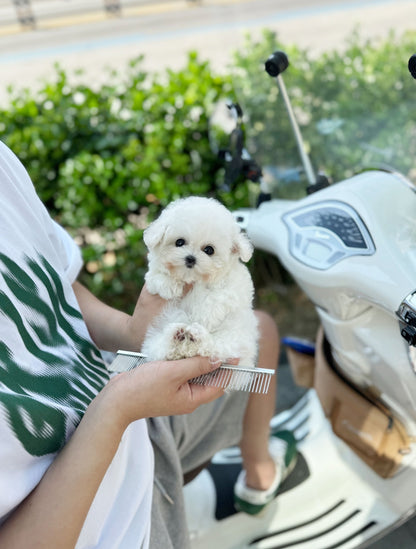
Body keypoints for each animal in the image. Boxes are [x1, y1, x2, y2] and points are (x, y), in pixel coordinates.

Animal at [141, 195, 258, 366]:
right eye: (179, 242)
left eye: (209, 250)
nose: (190, 258)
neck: (194, 279)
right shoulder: (153, 271)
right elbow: (157, 275)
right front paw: (170, 286)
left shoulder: (236, 286)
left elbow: (219, 297)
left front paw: (204, 315)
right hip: (157, 336)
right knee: (161, 350)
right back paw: (177, 338)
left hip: (235, 337)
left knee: (213, 348)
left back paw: (195, 337)